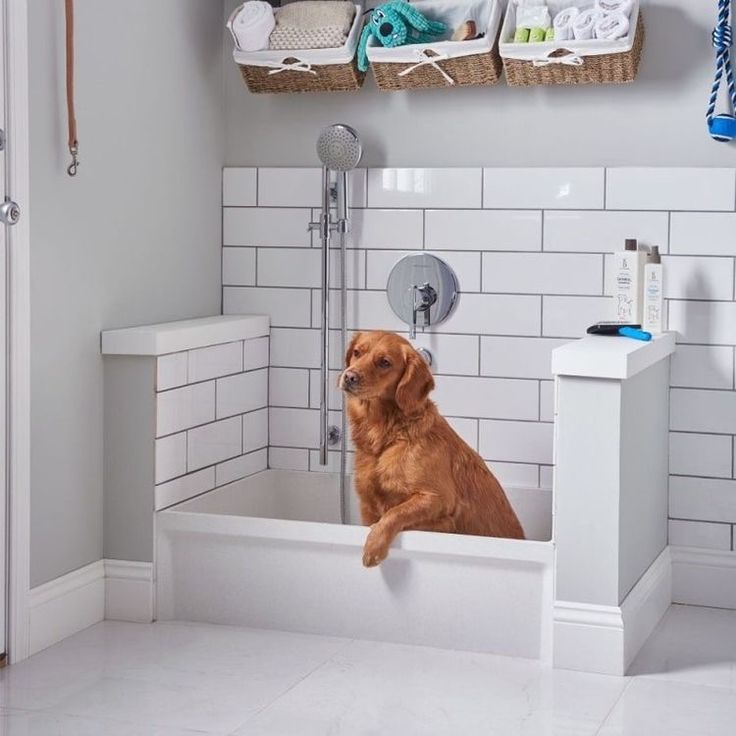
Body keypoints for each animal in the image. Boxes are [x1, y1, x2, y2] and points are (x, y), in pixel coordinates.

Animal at [340, 330, 524, 568]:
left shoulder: (436, 498)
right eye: (357, 352)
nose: (349, 376)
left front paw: (374, 545)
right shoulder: (367, 506)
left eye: (384, 362)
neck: (387, 436)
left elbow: (396, 512)